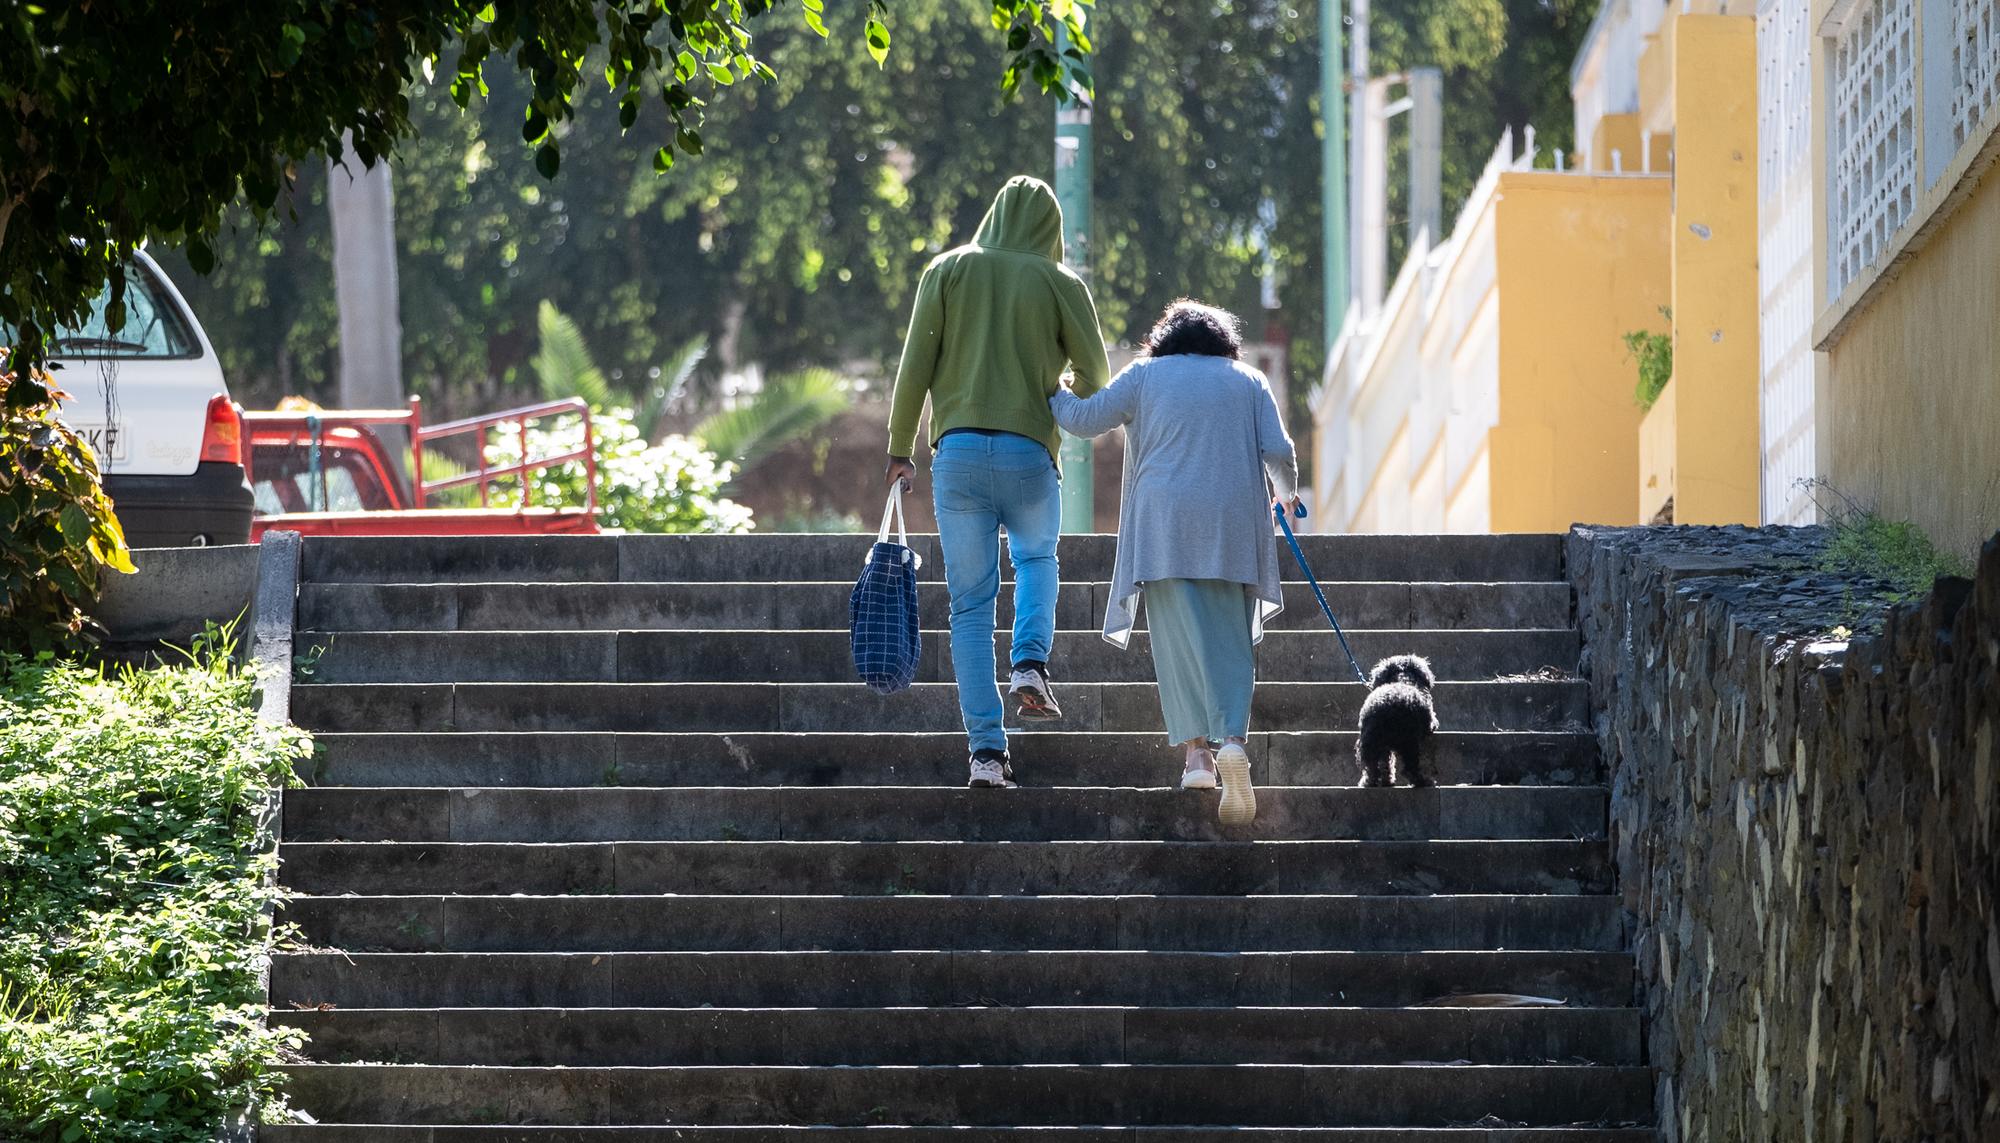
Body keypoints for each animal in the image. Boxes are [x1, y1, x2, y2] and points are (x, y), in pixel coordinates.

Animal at [1360, 651, 1440, 787]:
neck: (1403, 680)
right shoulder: (1427, 719)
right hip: (1408, 740)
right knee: (1409, 768)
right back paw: (1423, 781)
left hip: (1374, 741)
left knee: (1375, 766)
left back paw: (1375, 782)